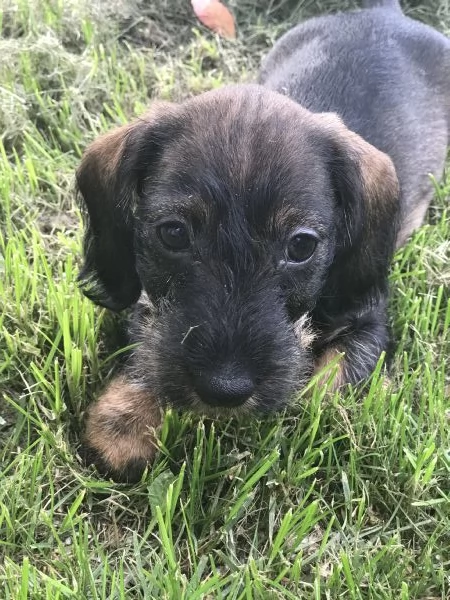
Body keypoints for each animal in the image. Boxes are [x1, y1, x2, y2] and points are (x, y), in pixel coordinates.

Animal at [75, 0, 448, 480]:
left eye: (301, 246)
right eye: (173, 233)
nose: (224, 389)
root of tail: (385, 14)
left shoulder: (369, 319)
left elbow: (331, 385)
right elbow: (149, 335)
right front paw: (124, 421)